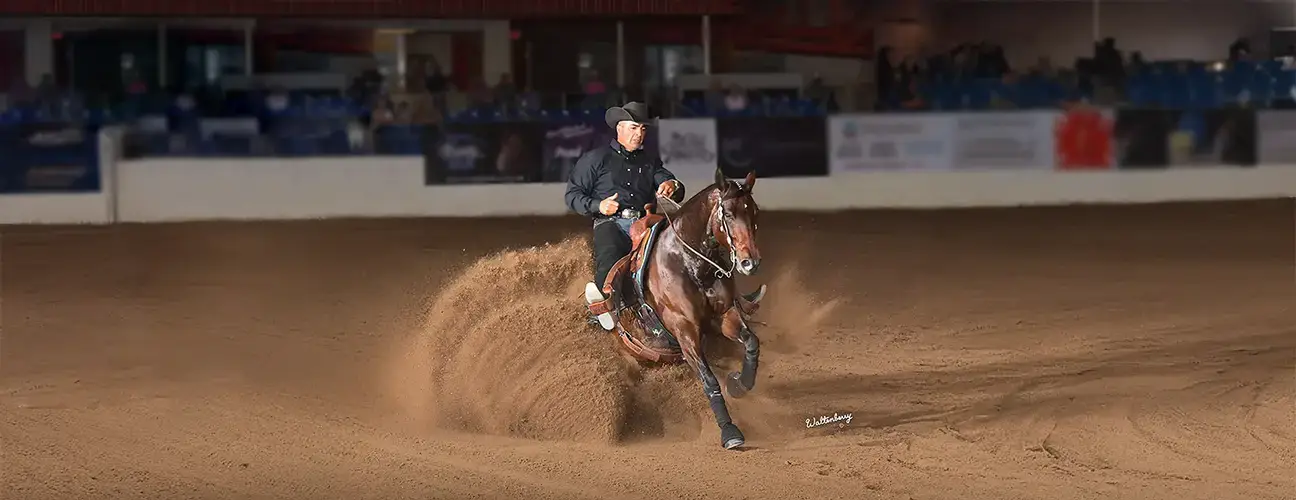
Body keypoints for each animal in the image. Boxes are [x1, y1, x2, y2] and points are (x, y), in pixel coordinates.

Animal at [590, 166, 765, 450]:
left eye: (755, 212)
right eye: (728, 214)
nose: (750, 263)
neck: (691, 263)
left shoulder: (725, 315)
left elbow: (751, 342)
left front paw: (739, 383)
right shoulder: (684, 329)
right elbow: (708, 379)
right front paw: (729, 431)